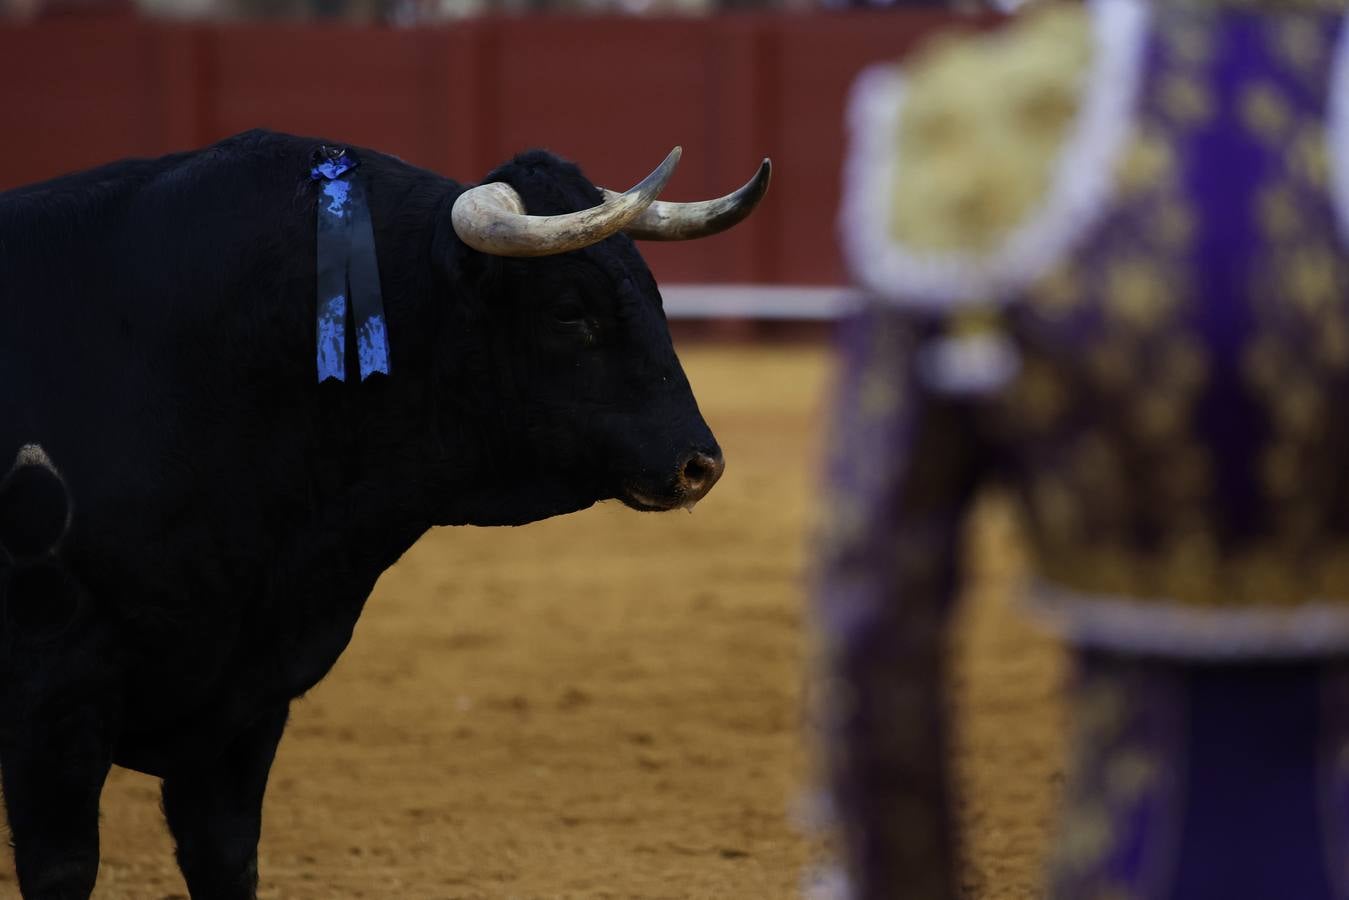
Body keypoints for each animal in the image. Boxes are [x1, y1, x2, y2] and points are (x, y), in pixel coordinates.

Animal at [0, 128, 766, 900]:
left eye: (653, 292)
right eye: (568, 310)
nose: (699, 464)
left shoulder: (246, 704)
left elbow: (226, 857)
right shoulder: (52, 696)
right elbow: (66, 867)